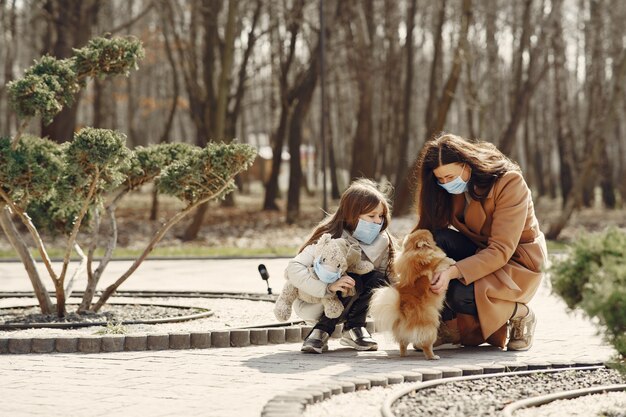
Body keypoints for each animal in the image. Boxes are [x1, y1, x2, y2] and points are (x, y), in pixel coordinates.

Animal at [366, 226, 454, 360]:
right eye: (427, 235)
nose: (428, 229)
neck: (414, 252)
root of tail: (401, 311)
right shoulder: (434, 266)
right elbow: (442, 261)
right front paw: (451, 261)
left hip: (403, 334)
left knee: (403, 344)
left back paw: (404, 354)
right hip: (430, 327)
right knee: (426, 345)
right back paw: (432, 356)